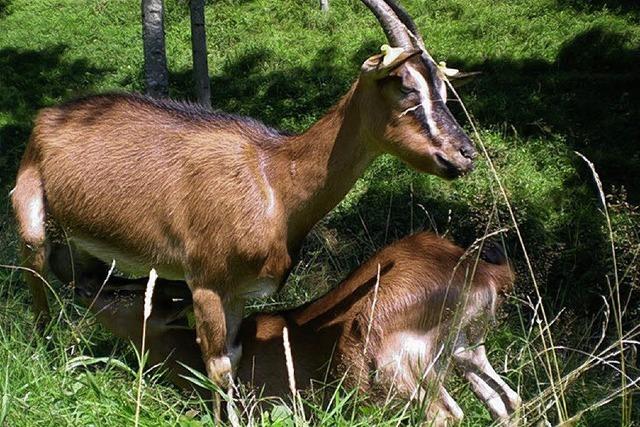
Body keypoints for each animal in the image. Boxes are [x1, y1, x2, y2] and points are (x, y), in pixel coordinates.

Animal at [12, 0, 478, 394]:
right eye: (403, 85)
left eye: (443, 88)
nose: (464, 154)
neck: (276, 181)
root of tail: (48, 116)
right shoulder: (206, 283)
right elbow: (217, 366)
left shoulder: (238, 292)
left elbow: (233, 361)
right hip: (31, 217)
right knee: (37, 280)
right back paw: (46, 353)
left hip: (84, 247)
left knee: (83, 282)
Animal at [51, 234, 520, 424]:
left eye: (123, 291)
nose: (80, 280)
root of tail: (482, 272)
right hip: (464, 347)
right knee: (507, 401)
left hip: (394, 353)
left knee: (447, 413)